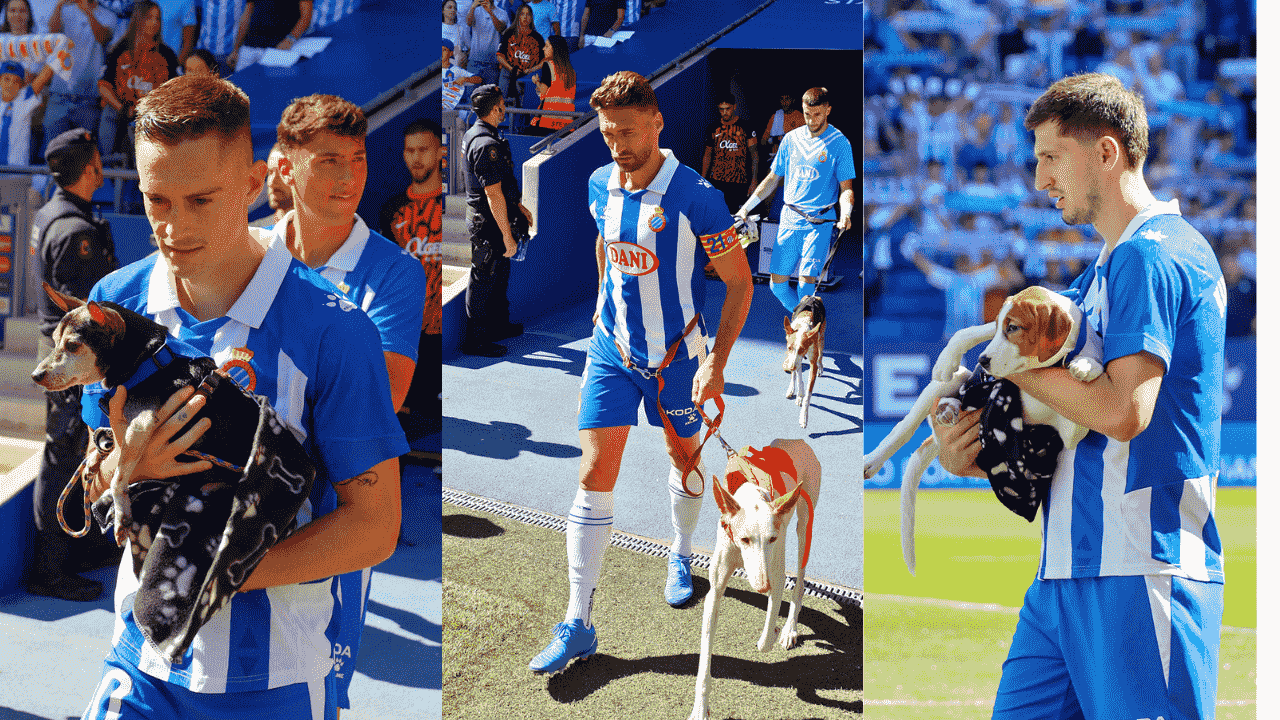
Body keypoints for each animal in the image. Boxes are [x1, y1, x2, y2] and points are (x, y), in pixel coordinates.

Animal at [31, 281, 314, 661]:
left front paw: (120, 511)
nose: (36, 375)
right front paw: (102, 481)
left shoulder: (143, 424)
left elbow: (119, 475)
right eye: (55, 340)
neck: (147, 363)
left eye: (73, 345)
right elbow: (112, 460)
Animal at [686, 438, 824, 717]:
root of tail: (797, 441)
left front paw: (774, 631)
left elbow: (765, 641)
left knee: (800, 581)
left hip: (804, 523)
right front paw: (700, 708)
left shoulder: (777, 569)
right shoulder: (715, 593)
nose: (762, 586)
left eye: (771, 538)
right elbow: (704, 661)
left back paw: (789, 628)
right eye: (744, 539)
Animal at [778, 293, 829, 425]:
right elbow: (798, 376)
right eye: (789, 347)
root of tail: (813, 296)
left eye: (803, 349)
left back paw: (821, 367)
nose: (789, 367)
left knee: (820, 355)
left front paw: (803, 417)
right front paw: (799, 393)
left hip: (822, 338)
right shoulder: (794, 358)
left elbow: (808, 395)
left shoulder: (811, 363)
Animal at [865, 285, 1105, 571]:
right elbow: (970, 331)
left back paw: (951, 408)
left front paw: (1087, 364)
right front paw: (947, 359)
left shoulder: (1070, 431)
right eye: (1004, 326)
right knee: (905, 427)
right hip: (950, 383)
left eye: (1014, 328)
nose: (983, 359)